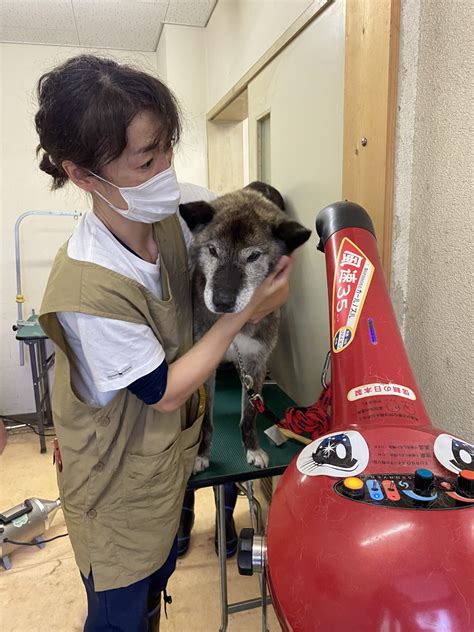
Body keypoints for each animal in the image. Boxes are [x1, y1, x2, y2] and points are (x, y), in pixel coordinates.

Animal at [178, 180, 312, 472]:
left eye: (253, 256)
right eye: (213, 250)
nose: (222, 301)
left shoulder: (254, 360)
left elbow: (249, 415)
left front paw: (253, 448)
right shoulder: (204, 368)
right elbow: (206, 421)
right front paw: (201, 454)